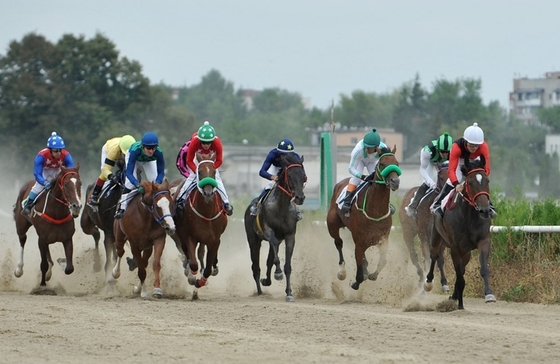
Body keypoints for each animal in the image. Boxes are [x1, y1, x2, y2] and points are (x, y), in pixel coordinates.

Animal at [174, 151, 229, 296]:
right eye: (199, 171)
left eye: (214, 171)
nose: (208, 192)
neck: (207, 212)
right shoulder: (190, 236)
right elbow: (193, 263)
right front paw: (192, 277)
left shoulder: (214, 239)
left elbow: (208, 269)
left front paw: (201, 281)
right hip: (181, 234)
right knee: (188, 253)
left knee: (202, 253)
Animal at [326, 145, 400, 290]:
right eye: (382, 164)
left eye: (397, 163)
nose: (395, 182)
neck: (375, 211)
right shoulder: (359, 242)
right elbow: (359, 267)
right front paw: (356, 282)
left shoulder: (383, 240)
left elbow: (383, 261)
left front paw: (372, 275)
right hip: (332, 225)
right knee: (338, 243)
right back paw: (342, 272)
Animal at [398, 162, 450, 290]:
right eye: (441, 177)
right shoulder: (424, 235)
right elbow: (426, 257)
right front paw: (428, 281)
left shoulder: (440, 238)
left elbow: (440, 259)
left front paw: (444, 282)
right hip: (407, 232)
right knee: (413, 255)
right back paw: (421, 276)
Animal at [422, 156, 496, 310]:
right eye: (470, 182)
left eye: (487, 181)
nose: (485, 210)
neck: (470, 218)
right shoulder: (455, 248)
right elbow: (460, 277)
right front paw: (460, 305)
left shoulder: (484, 241)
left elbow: (482, 269)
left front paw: (489, 294)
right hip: (436, 237)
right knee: (434, 256)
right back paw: (429, 282)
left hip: (466, 251)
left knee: (461, 269)